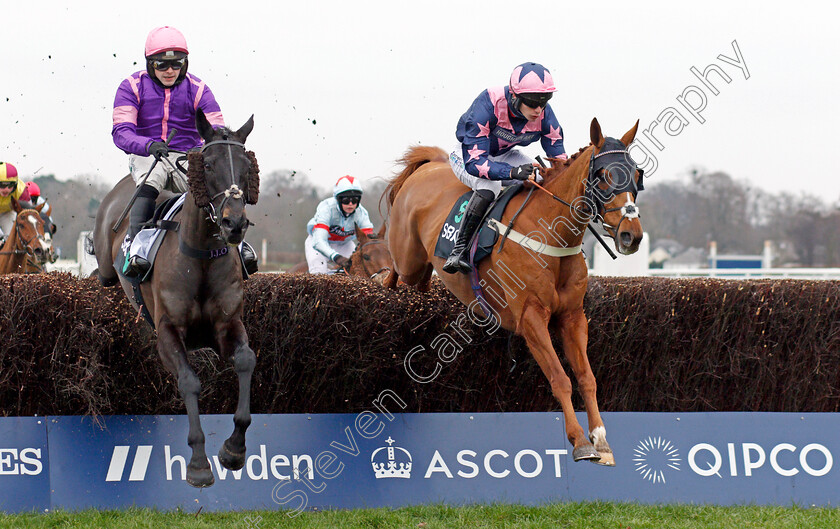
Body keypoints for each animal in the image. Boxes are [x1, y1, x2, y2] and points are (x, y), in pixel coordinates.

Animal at [91, 110, 260, 486]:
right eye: (208, 165)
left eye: (247, 166)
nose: (234, 224)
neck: (200, 256)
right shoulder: (168, 331)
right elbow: (189, 381)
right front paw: (198, 463)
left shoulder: (227, 324)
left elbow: (246, 361)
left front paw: (234, 449)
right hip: (109, 268)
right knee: (102, 275)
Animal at [386, 117, 644, 464]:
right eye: (604, 176)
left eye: (637, 175)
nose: (632, 236)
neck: (552, 233)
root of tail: (430, 164)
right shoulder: (530, 317)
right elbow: (560, 378)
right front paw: (579, 441)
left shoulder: (573, 317)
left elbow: (586, 377)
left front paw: (601, 440)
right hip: (408, 257)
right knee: (392, 271)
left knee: (420, 281)